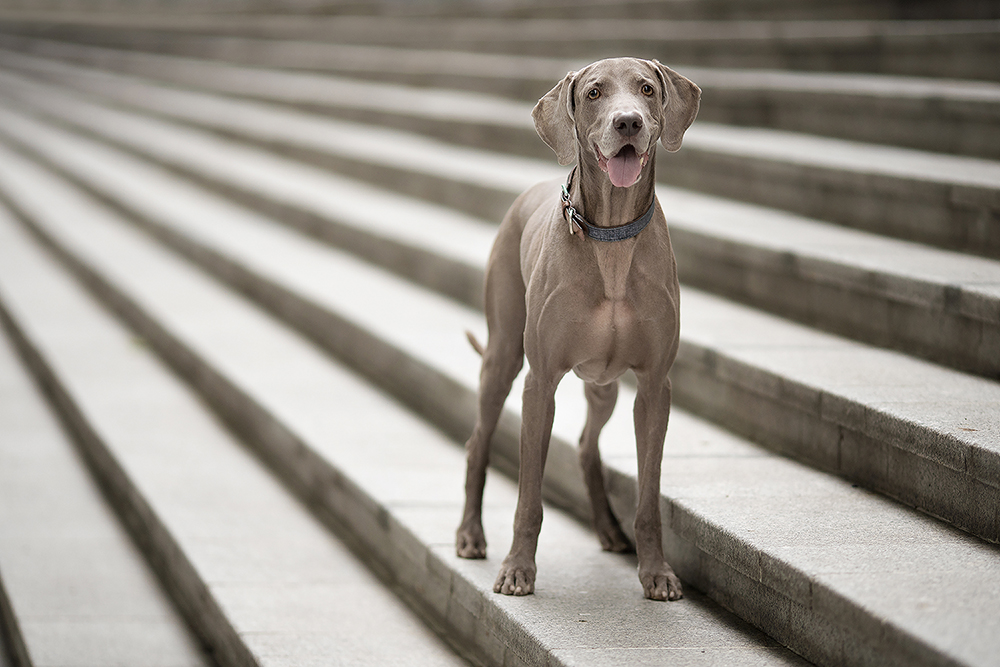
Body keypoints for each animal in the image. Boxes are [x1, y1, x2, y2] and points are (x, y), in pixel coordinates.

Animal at [458, 56, 700, 600]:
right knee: (477, 442)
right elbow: (528, 497)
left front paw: (656, 572)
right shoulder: (540, 383)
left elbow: (649, 498)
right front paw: (517, 569)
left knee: (589, 446)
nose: (628, 122)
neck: (611, 238)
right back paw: (470, 534)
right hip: (501, 357)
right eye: (594, 93)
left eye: (647, 89)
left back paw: (609, 529)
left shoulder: (654, 387)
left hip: (604, 384)